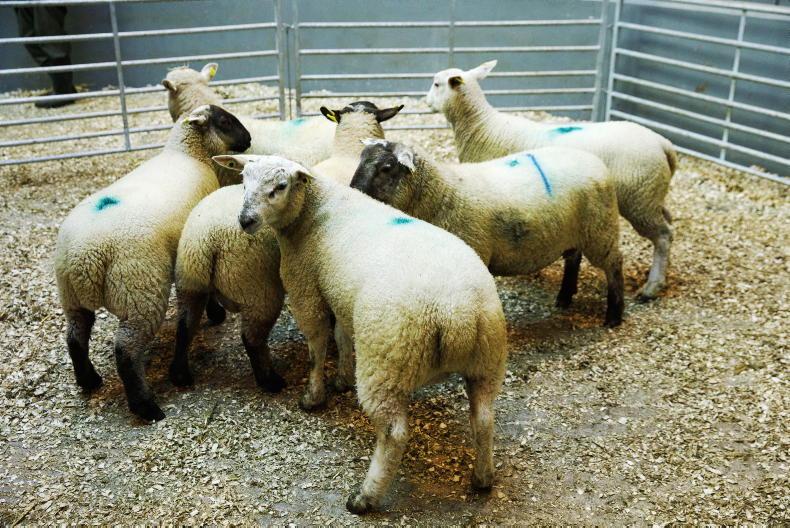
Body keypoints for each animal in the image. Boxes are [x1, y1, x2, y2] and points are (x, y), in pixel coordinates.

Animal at [54, 105, 251, 422]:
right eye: (224, 120)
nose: (248, 140)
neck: (187, 153)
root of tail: (84, 257)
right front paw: (216, 313)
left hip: (71, 297)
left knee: (75, 337)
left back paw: (89, 380)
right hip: (140, 294)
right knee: (126, 351)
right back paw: (146, 407)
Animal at [170, 101, 403, 396]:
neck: (346, 153)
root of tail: (205, 241)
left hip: (189, 282)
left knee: (184, 327)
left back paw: (180, 375)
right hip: (258, 289)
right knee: (251, 338)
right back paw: (270, 380)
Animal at [219, 154, 508, 514]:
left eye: (280, 186)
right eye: (243, 180)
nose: (245, 221)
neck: (312, 212)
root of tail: (456, 313)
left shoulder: (306, 289)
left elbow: (317, 347)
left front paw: (313, 396)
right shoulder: (340, 294)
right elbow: (342, 336)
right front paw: (342, 378)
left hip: (385, 360)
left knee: (394, 434)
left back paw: (365, 497)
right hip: (487, 360)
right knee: (483, 419)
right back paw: (482, 478)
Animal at [351, 140, 625, 327]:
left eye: (387, 167)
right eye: (361, 158)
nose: (353, 190)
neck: (443, 195)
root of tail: (594, 160)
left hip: (601, 229)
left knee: (614, 265)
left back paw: (614, 315)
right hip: (577, 232)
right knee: (573, 258)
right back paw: (565, 296)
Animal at [426, 60, 677, 301]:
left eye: (437, 84)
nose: (426, 101)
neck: (483, 126)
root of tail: (663, 143)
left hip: (639, 199)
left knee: (663, 235)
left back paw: (652, 286)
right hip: (649, 196)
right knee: (667, 222)